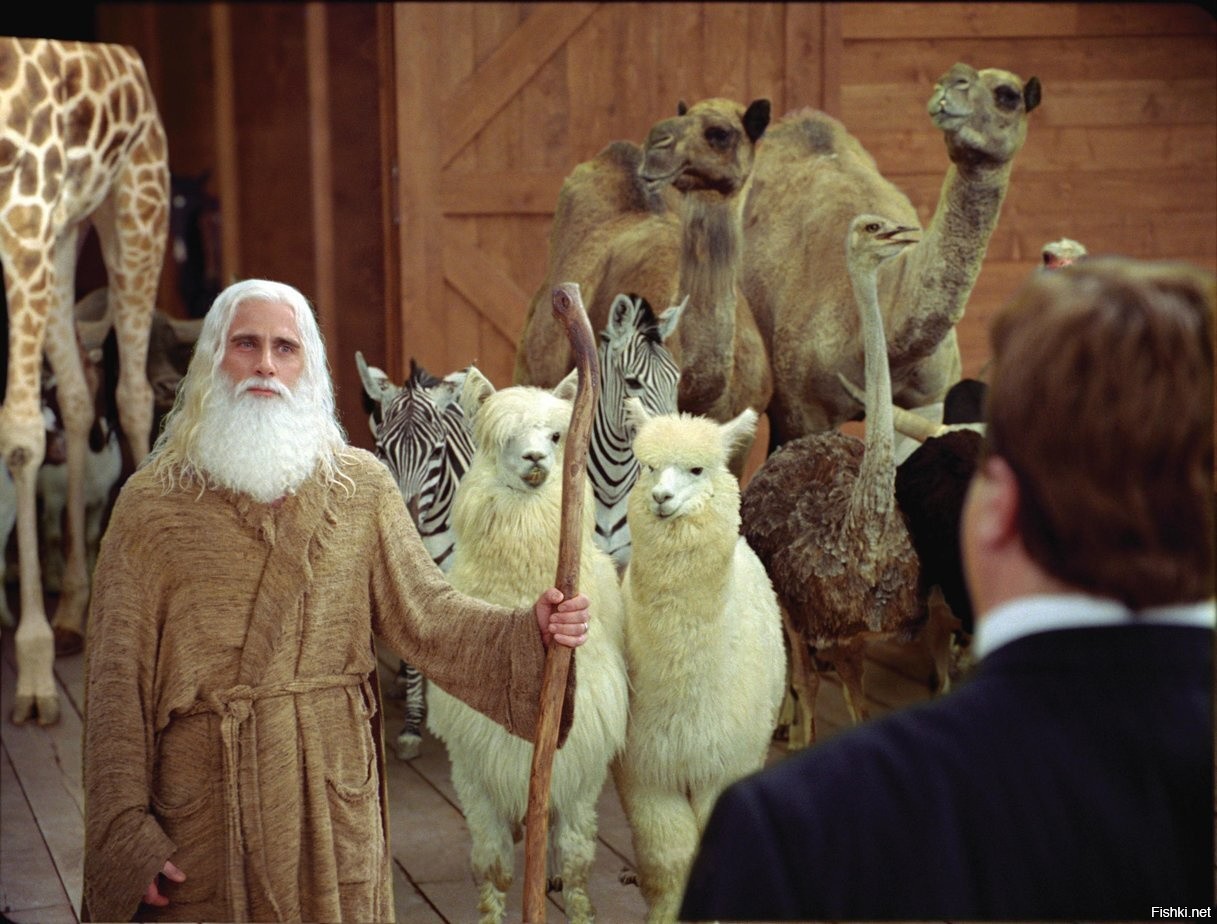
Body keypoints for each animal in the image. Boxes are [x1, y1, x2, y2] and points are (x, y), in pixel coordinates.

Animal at [426, 367, 629, 924]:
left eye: (556, 437)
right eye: (502, 440)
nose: (535, 459)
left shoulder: (581, 769)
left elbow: (578, 861)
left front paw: (578, 909)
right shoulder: (474, 771)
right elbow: (494, 865)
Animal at [613, 400, 786, 924]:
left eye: (697, 469)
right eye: (648, 466)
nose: (661, 497)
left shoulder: (725, 765)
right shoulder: (646, 770)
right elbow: (668, 857)